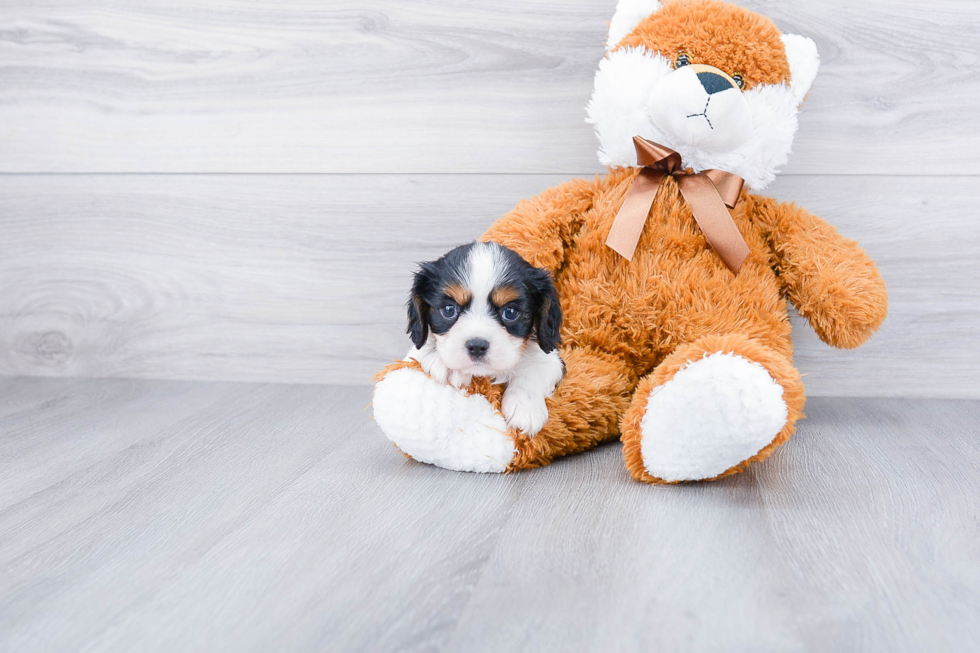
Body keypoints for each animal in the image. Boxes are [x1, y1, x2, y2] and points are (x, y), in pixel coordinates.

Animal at [406, 239, 568, 432]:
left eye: (510, 312)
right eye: (448, 310)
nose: (476, 346)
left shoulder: (553, 359)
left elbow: (534, 371)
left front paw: (525, 407)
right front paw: (443, 362)